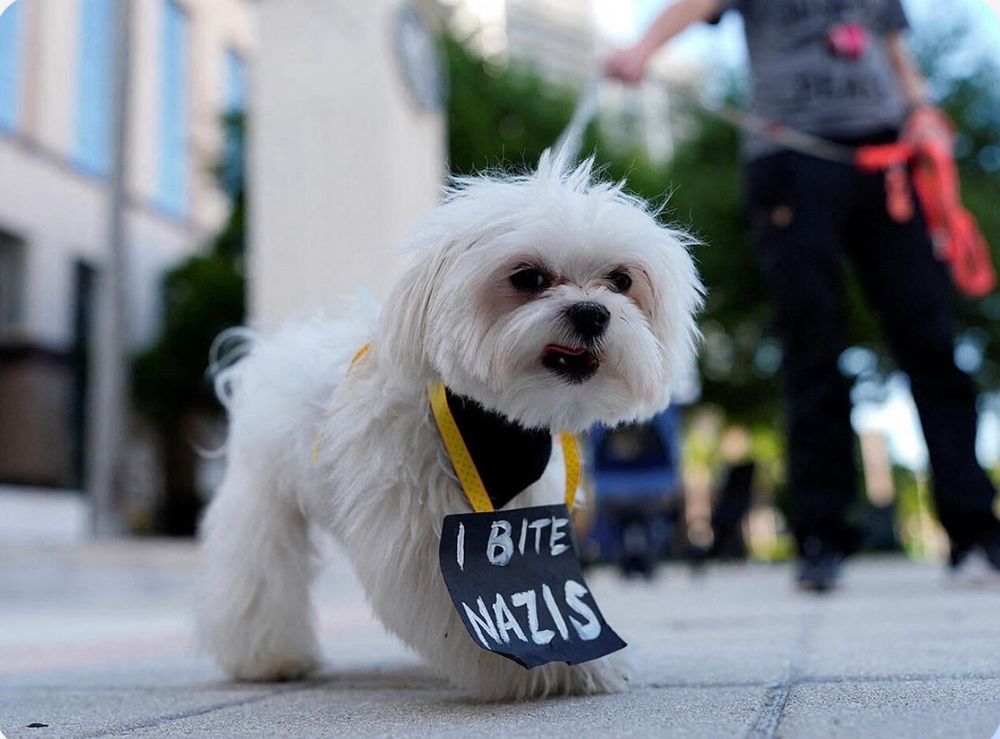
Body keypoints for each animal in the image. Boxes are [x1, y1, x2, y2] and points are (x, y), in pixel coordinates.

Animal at [197, 153, 703, 700]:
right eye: (527, 277)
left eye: (622, 280)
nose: (592, 312)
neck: (486, 423)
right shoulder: (424, 530)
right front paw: (550, 671)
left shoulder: (524, 509)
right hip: (262, 499)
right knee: (259, 577)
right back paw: (269, 658)